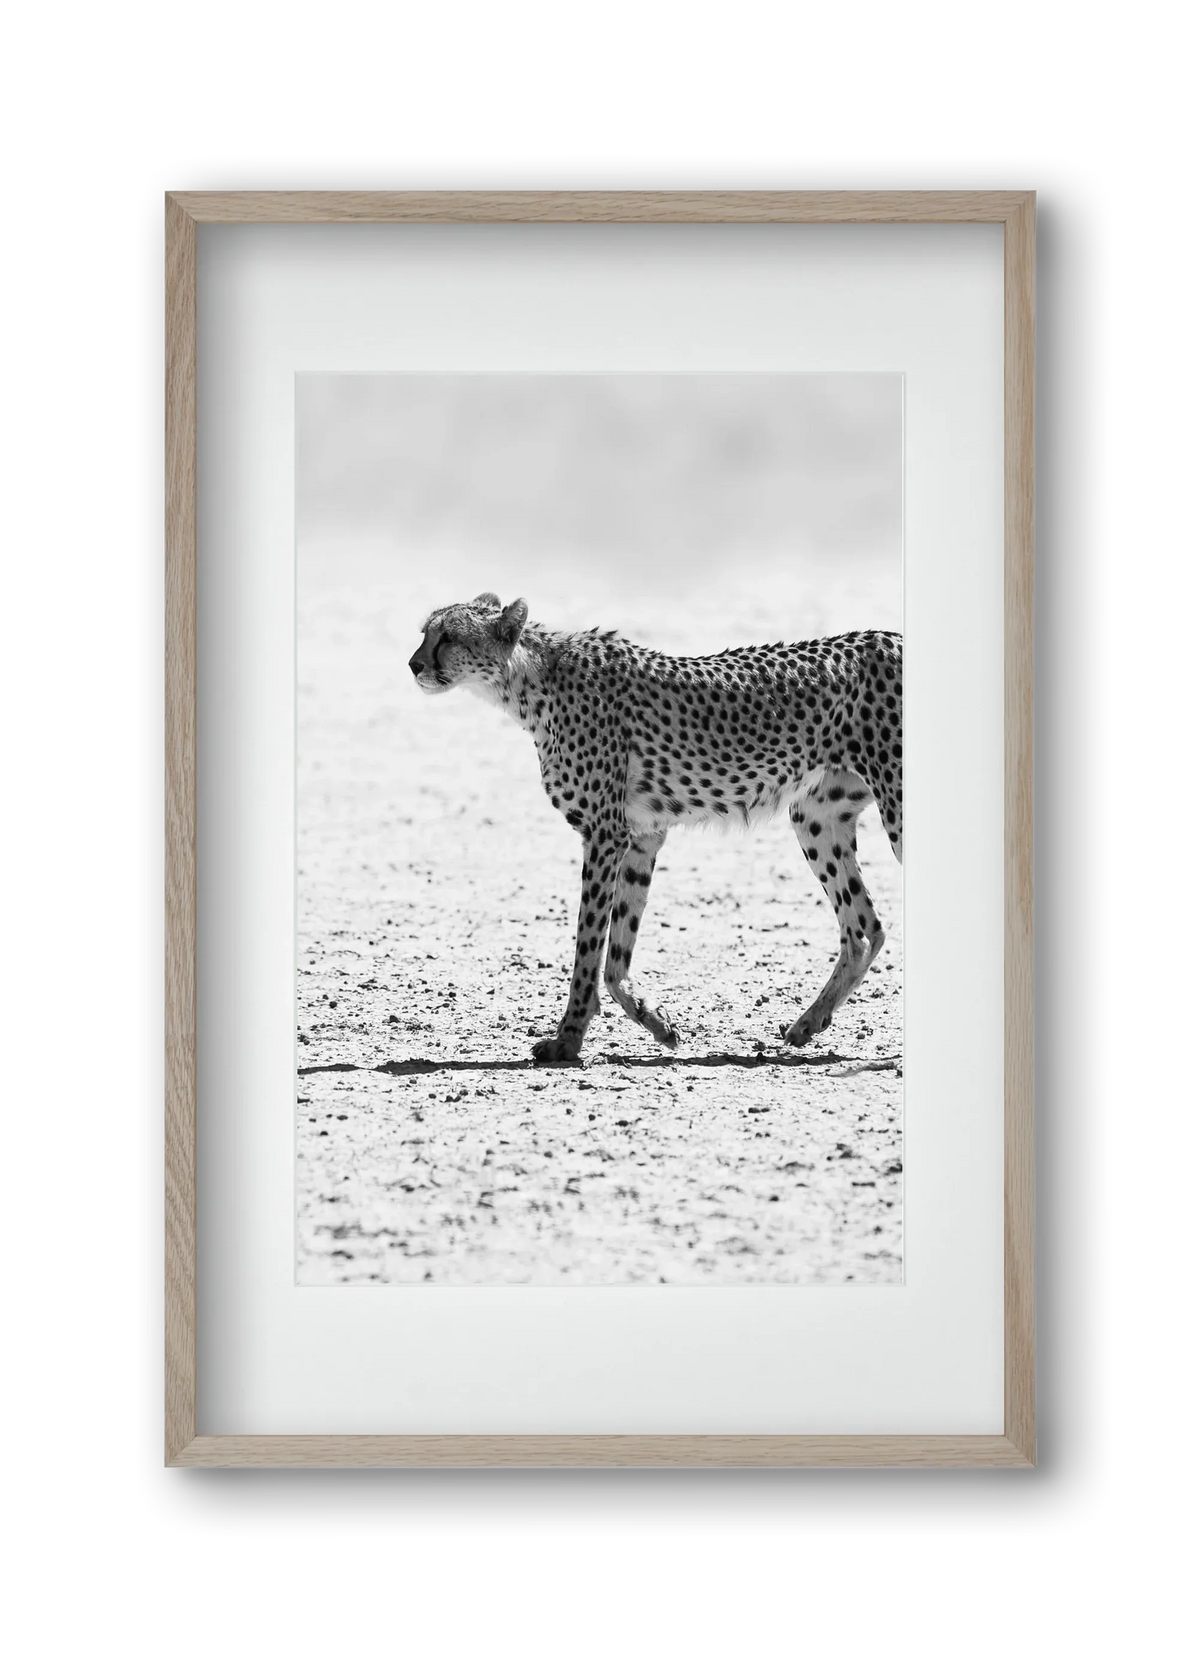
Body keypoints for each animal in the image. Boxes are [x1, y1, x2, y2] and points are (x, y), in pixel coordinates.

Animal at [409, 593, 902, 1063]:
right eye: (425, 632)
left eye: (448, 636)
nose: (414, 664)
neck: (528, 681)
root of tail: (890, 635)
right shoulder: (641, 836)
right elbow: (616, 954)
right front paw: (657, 1022)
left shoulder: (605, 834)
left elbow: (588, 946)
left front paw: (567, 1040)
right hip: (816, 817)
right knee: (864, 928)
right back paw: (808, 1023)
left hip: (894, 807)